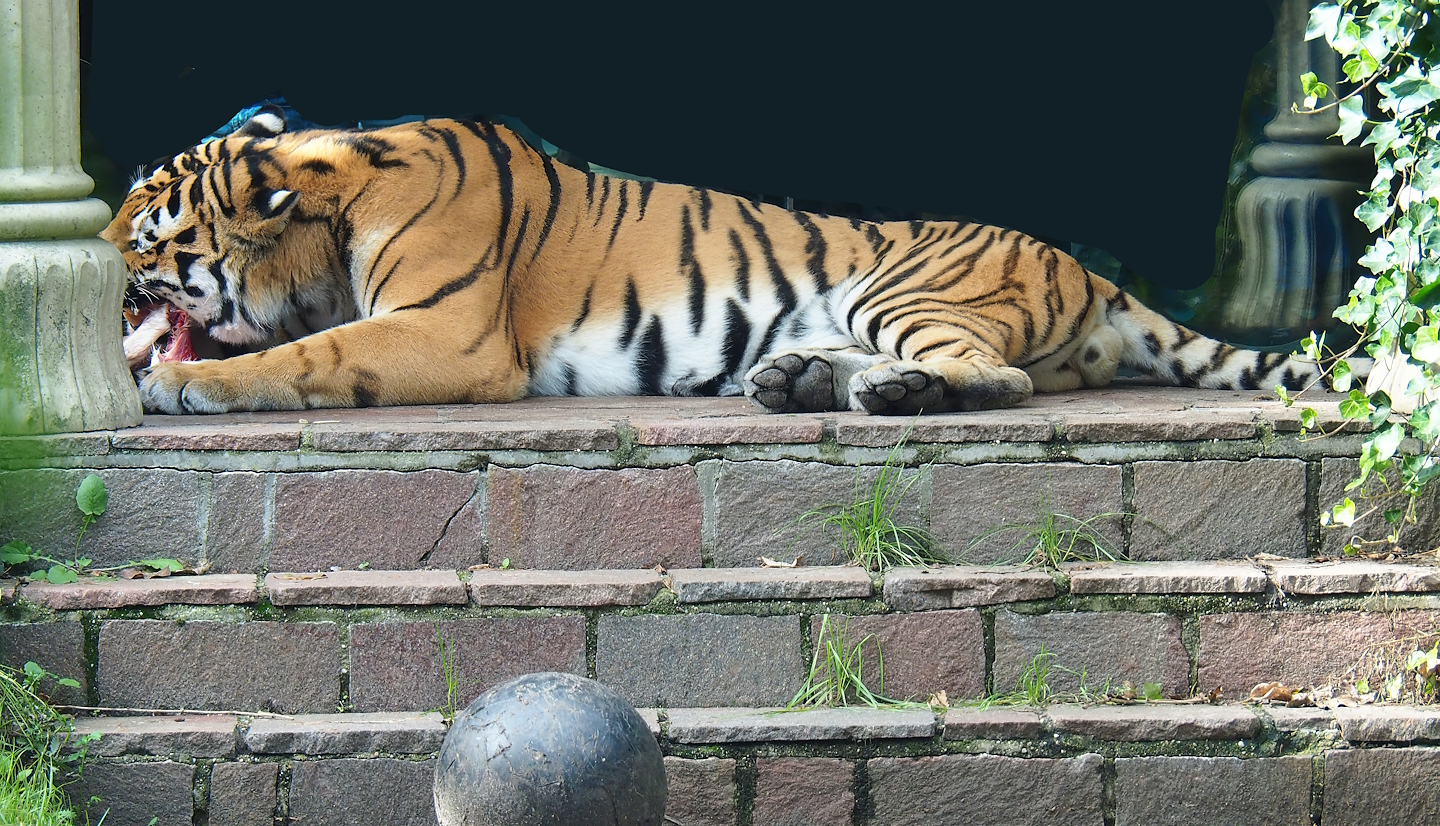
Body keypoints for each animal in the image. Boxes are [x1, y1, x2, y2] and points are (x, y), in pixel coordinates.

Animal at [101, 106, 1331, 416]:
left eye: (149, 232)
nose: (96, 268)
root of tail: (1092, 271)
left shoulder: (448, 329)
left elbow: (305, 357)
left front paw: (185, 386)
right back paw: (796, 379)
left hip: (904, 283)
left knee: (998, 375)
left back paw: (883, 392)